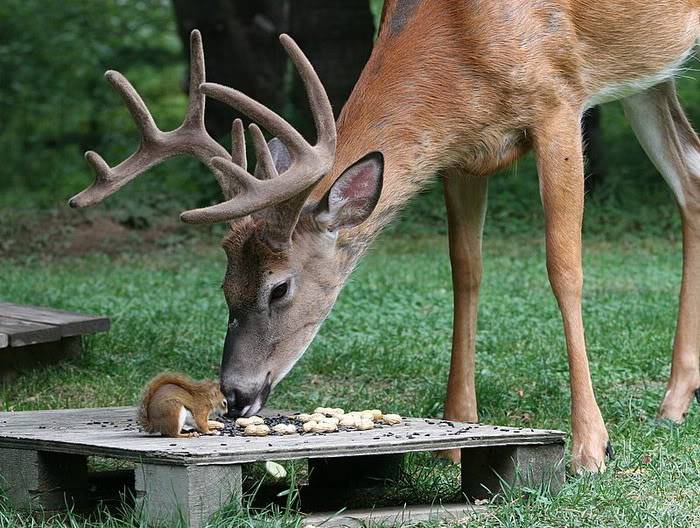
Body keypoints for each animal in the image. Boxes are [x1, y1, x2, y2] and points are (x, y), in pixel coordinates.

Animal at [72, 2, 700, 472]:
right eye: (225, 285)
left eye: (280, 287)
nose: (236, 394)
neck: (463, 38)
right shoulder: (462, 152)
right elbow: (465, 272)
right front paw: (456, 434)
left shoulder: (558, 104)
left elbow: (563, 268)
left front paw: (591, 447)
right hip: (650, 75)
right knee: (691, 176)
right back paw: (674, 401)